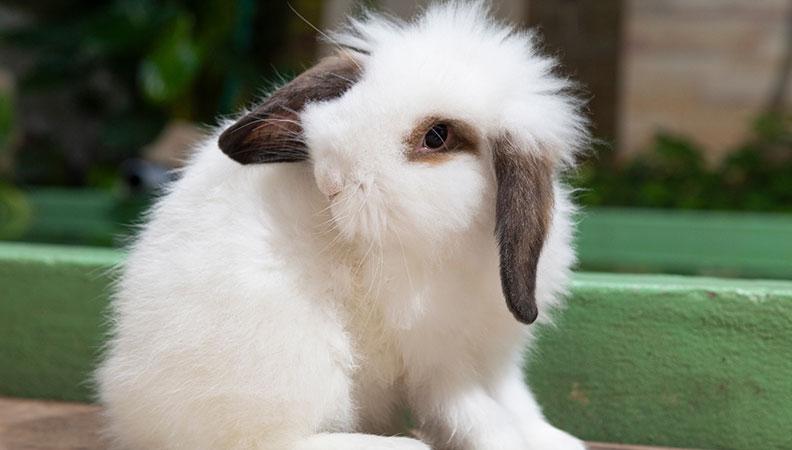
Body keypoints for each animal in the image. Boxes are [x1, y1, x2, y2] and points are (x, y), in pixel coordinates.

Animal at [97, 2, 590, 450]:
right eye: (354, 91)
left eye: (437, 136)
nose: (331, 179)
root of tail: (132, 411)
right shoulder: (437, 363)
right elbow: (476, 415)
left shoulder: (494, 357)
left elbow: (517, 404)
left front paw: (555, 441)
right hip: (298, 362)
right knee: (263, 441)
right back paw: (397, 446)